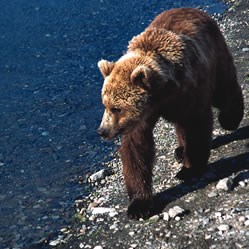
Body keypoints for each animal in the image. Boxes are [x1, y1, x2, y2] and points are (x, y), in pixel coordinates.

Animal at [97, 7, 243, 219]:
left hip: (215, 54)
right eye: (105, 104)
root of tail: (192, 9)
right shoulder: (143, 116)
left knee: (224, 90)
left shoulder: (189, 91)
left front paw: (189, 170)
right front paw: (138, 204)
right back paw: (180, 150)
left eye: (117, 108)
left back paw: (229, 119)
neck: (162, 93)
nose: (102, 131)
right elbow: (136, 147)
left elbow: (196, 125)